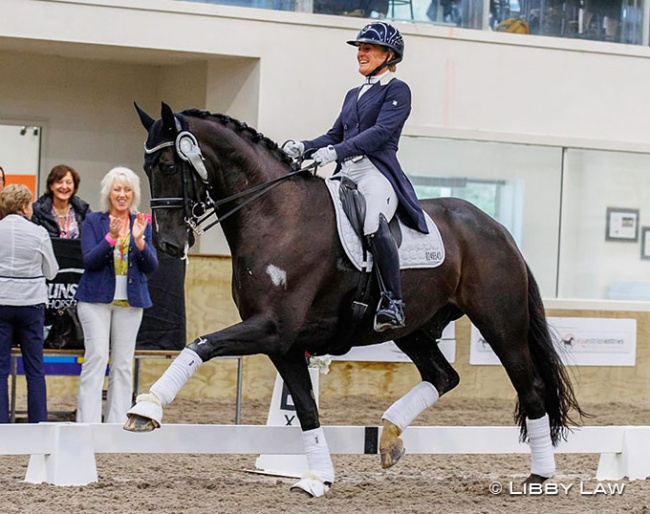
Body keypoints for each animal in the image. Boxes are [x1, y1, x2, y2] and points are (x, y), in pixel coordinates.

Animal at [124, 101, 580, 496]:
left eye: (169, 165)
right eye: (147, 168)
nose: (167, 244)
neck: (275, 214)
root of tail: (497, 229)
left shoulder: (273, 327)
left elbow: (200, 344)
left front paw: (146, 410)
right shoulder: (283, 343)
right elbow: (306, 409)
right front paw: (316, 479)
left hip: (500, 324)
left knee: (531, 389)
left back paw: (539, 475)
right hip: (413, 329)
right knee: (444, 377)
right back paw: (390, 436)